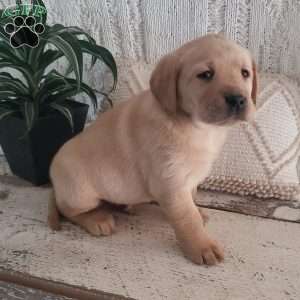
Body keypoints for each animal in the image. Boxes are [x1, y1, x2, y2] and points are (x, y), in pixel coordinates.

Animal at [48, 34, 256, 266]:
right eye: (206, 75)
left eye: (245, 73)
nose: (238, 99)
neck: (196, 127)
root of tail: (55, 185)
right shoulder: (171, 182)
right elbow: (187, 217)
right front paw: (202, 246)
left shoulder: (186, 180)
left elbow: (191, 200)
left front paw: (198, 212)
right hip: (80, 193)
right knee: (67, 210)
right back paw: (97, 219)